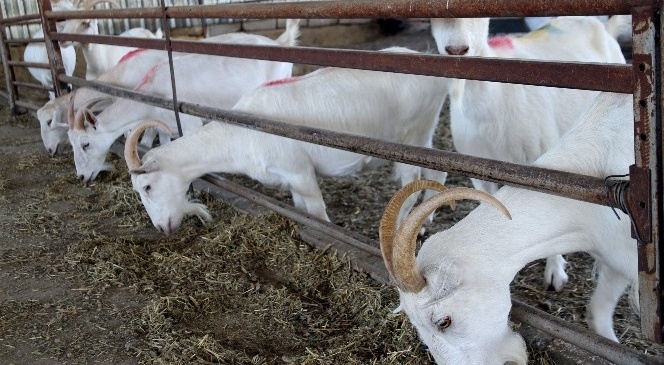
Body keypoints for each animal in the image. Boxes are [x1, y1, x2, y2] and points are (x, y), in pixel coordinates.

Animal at [68, 20, 300, 182]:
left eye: (85, 144)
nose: (81, 177)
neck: (153, 93)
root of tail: (279, 42)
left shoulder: (191, 124)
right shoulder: (165, 126)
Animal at [122, 47, 448, 233]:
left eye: (147, 187)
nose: (162, 229)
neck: (240, 134)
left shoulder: (300, 171)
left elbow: (317, 213)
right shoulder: (290, 181)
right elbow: (301, 210)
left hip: (411, 134)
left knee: (412, 181)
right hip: (424, 134)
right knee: (438, 172)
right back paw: (426, 220)